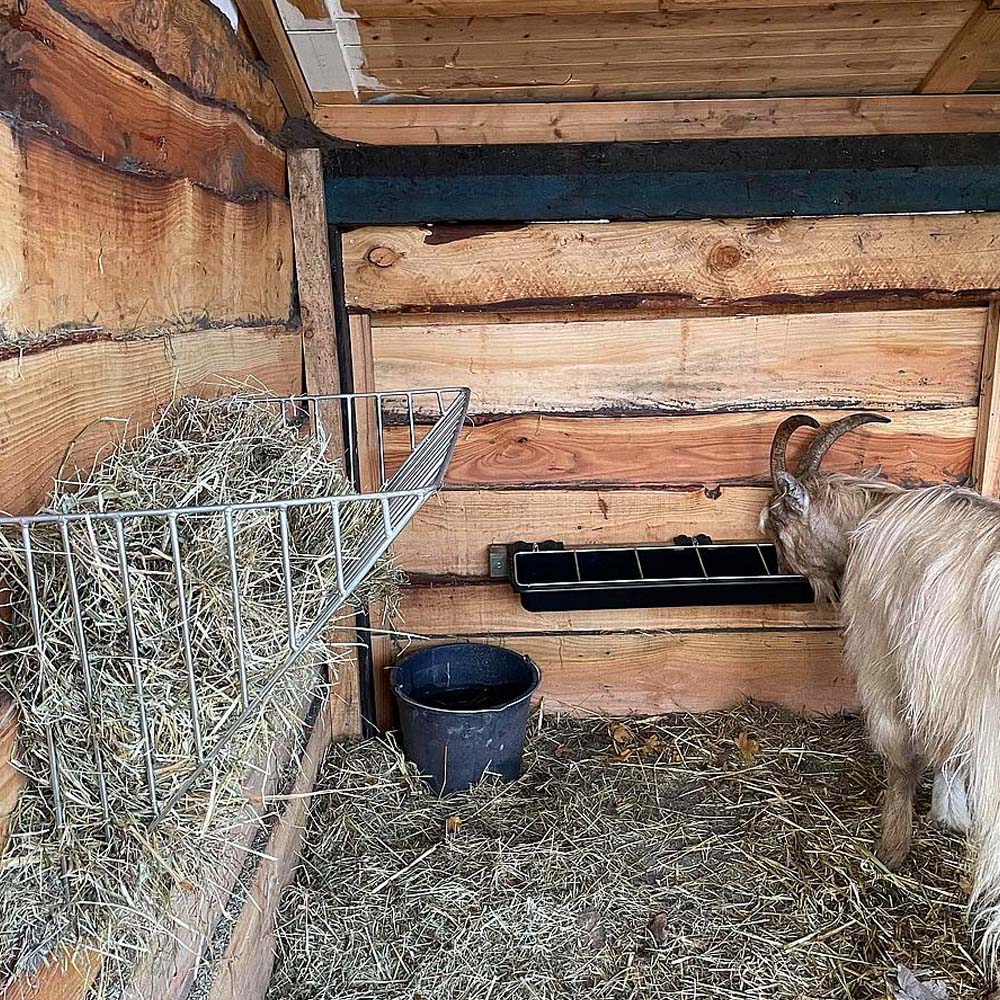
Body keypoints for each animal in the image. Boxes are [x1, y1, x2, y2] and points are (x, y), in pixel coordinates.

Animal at [760, 412, 1000, 979]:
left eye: (777, 521)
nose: (779, 568)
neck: (872, 514)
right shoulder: (947, 686)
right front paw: (948, 814)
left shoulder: (885, 659)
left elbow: (900, 757)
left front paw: (891, 849)